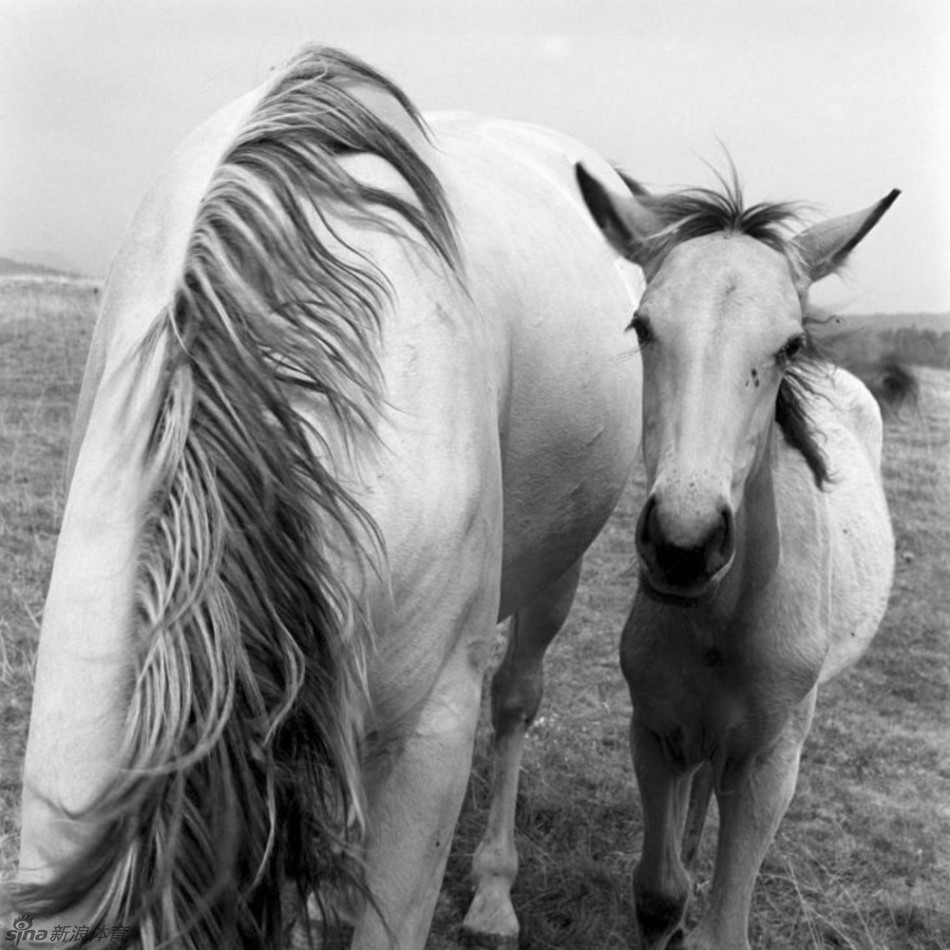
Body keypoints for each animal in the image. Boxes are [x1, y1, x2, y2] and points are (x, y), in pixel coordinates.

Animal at [576, 164, 898, 949]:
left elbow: (722, 927)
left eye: (789, 345)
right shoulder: (654, 732)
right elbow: (659, 894)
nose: (683, 545)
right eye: (642, 327)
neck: (725, 624)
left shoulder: (766, 766)